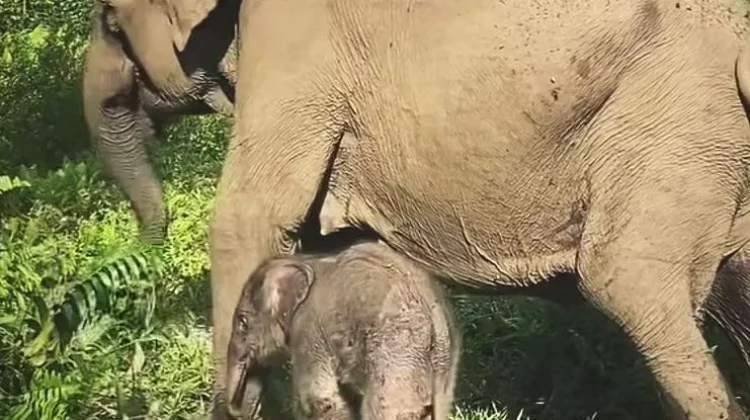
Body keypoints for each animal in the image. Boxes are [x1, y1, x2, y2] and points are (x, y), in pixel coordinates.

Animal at [226, 240, 460, 420]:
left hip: (397, 351)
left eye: (243, 322)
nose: (235, 410)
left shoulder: (309, 328)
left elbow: (319, 398)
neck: (307, 261)